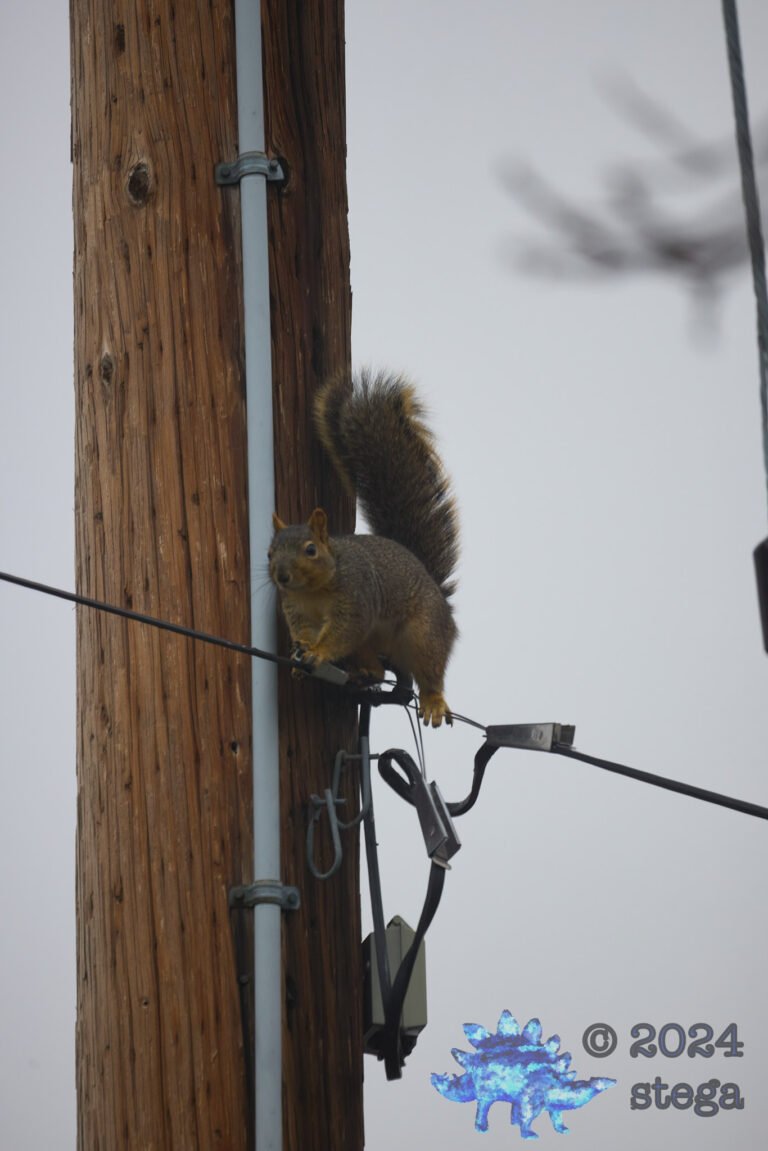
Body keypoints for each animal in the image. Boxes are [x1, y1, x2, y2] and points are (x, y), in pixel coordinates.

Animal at [268, 369, 459, 726]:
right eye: (269, 553)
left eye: (311, 550)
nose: (281, 577)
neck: (314, 591)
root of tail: (441, 597)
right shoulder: (297, 610)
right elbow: (304, 631)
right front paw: (301, 651)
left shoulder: (355, 600)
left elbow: (343, 631)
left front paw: (318, 652)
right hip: (370, 644)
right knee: (381, 669)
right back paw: (364, 672)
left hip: (424, 633)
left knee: (429, 671)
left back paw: (433, 700)